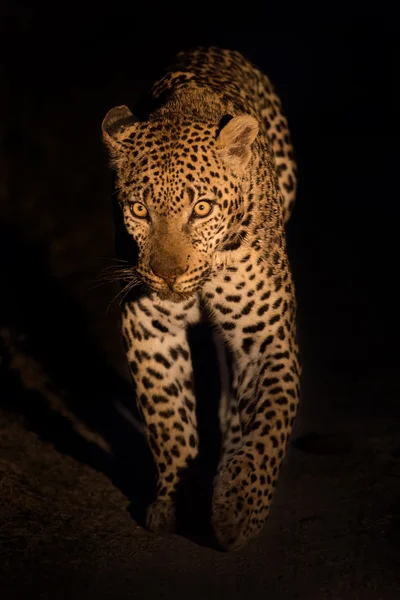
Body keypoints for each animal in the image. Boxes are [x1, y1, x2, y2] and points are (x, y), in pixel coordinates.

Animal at [101, 45, 302, 552]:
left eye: (202, 208)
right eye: (139, 210)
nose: (167, 276)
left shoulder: (267, 339)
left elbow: (269, 421)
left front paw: (239, 507)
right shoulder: (150, 326)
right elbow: (167, 417)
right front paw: (177, 501)